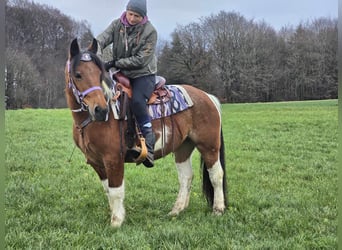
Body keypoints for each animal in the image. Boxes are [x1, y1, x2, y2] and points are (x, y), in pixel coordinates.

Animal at [65, 38, 228, 228]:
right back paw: (177, 210)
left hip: (209, 146)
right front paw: (114, 215)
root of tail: (208, 97)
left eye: (99, 74)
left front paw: (116, 222)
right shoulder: (96, 163)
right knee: (186, 177)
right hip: (182, 147)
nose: (100, 110)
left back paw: (218, 209)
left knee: (216, 175)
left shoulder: (113, 160)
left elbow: (116, 191)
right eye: (78, 74)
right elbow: (108, 191)